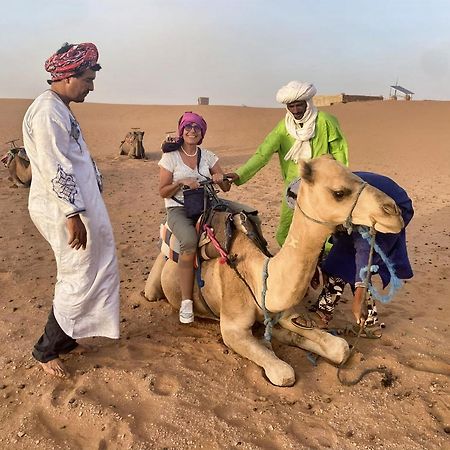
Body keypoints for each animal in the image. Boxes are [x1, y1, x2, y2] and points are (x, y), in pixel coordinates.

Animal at [144, 156, 404, 386]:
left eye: (357, 176)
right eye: (339, 193)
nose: (394, 211)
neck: (258, 276)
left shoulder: (285, 313)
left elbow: (339, 347)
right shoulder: (232, 328)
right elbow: (284, 373)